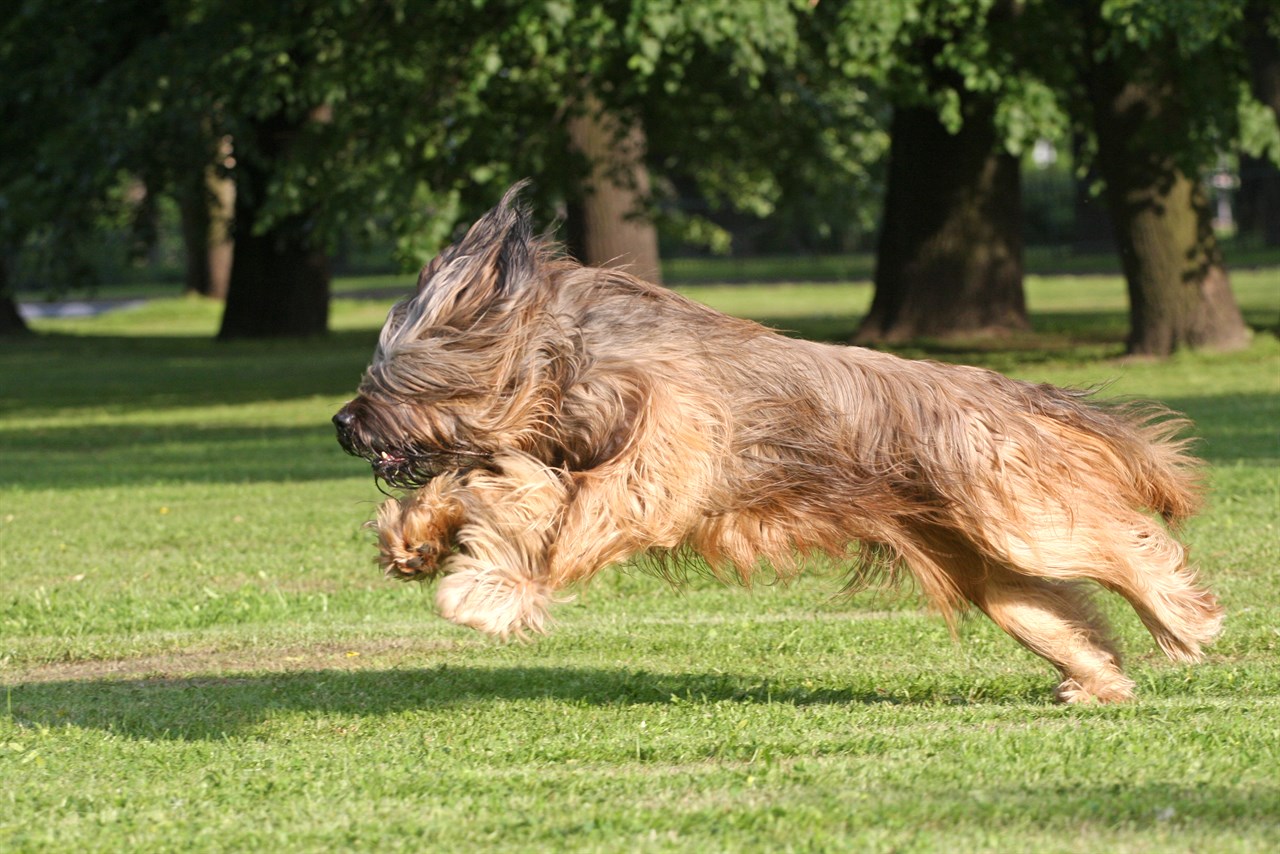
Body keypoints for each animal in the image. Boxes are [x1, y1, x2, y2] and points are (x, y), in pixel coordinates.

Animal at [335, 184, 1223, 706]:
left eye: (388, 380)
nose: (342, 422)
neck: (569, 362)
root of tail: (1007, 392)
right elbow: (480, 487)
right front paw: (416, 538)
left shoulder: (657, 469)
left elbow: (548, 510)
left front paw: (487, 587)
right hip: (986, 564)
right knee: (1057, 613)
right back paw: (1099, 681)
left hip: (1022, 517)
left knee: (1129, 543)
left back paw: (1183, 622)